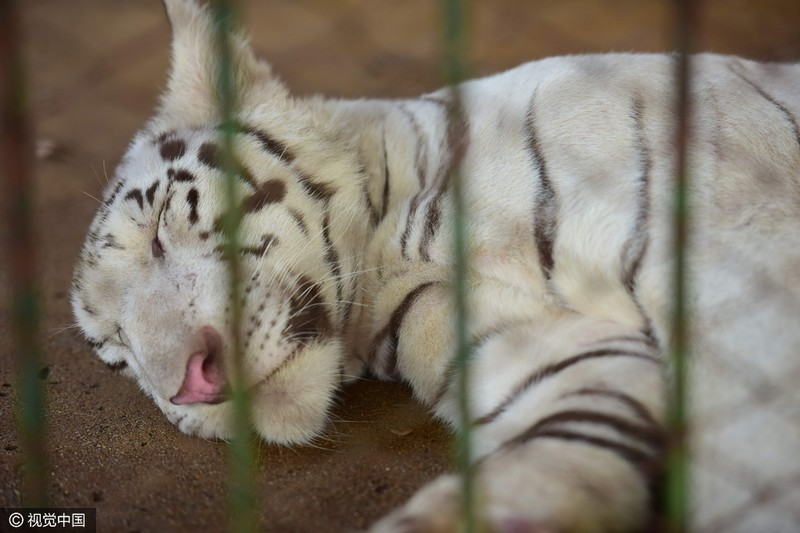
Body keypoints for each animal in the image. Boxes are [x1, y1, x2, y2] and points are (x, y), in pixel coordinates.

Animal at [72, 0, 800, 528]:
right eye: (116, 352)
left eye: (160, 227)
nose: (189, 387)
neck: (397, 247)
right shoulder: (550, 347)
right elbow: (569, 444)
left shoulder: (741, 238)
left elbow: (758, 435)